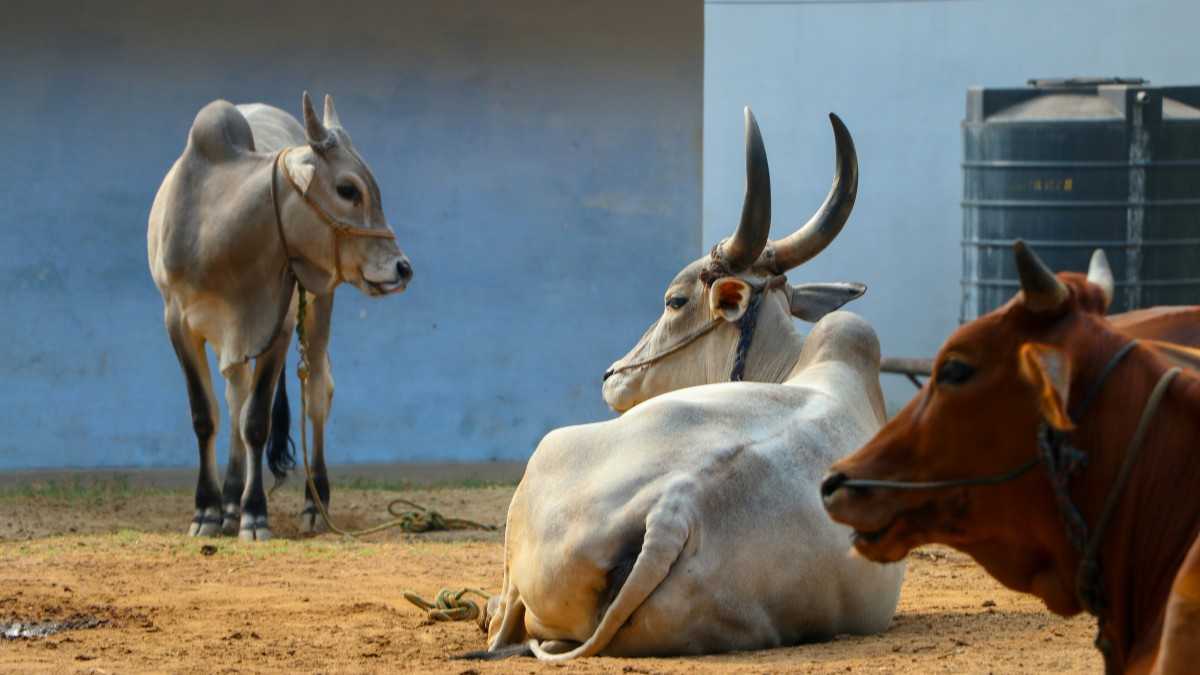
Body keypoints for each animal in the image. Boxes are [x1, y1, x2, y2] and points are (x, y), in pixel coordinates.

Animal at [147, 93, 412, 541]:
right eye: (347, 189)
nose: (402, 267)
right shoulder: (178, 323)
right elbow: (206, 416)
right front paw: (207, 511)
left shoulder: (281, 326)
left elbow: (257, 420)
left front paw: (255, 515)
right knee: (235, 395)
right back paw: (230, 500)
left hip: (320, 304)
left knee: (317, 392)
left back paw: (312, 503)